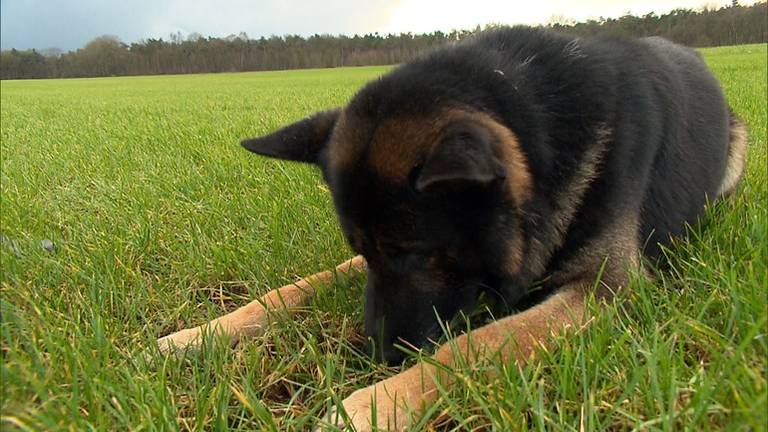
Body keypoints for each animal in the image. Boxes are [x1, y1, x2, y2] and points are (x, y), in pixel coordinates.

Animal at [154, 27, 744, 432]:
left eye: (414, 253)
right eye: (367, 250)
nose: (374, 355)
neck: (544, 133)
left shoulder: (606, 289)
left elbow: (475, 345)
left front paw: (370, 405)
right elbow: (297, 287)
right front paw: (198, 335)